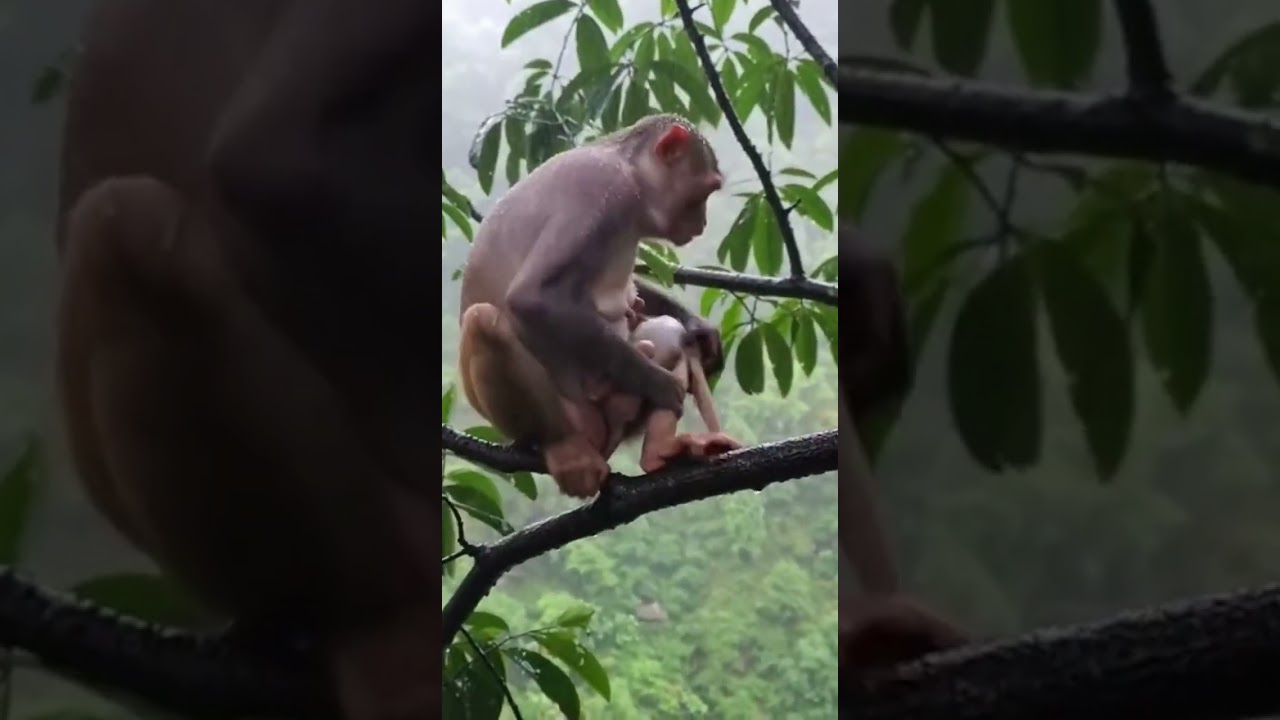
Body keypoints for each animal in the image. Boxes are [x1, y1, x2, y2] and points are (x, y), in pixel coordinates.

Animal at [458, 115, 739, 499]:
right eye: (705, 191)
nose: (703, 222)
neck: (630, 173)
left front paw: (702, 332)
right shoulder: (600, 191)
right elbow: (533, 297)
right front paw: (661, 385)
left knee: (667, 334)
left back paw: (660, 449)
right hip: (573, 417)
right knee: (483, 321)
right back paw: (565, 448)